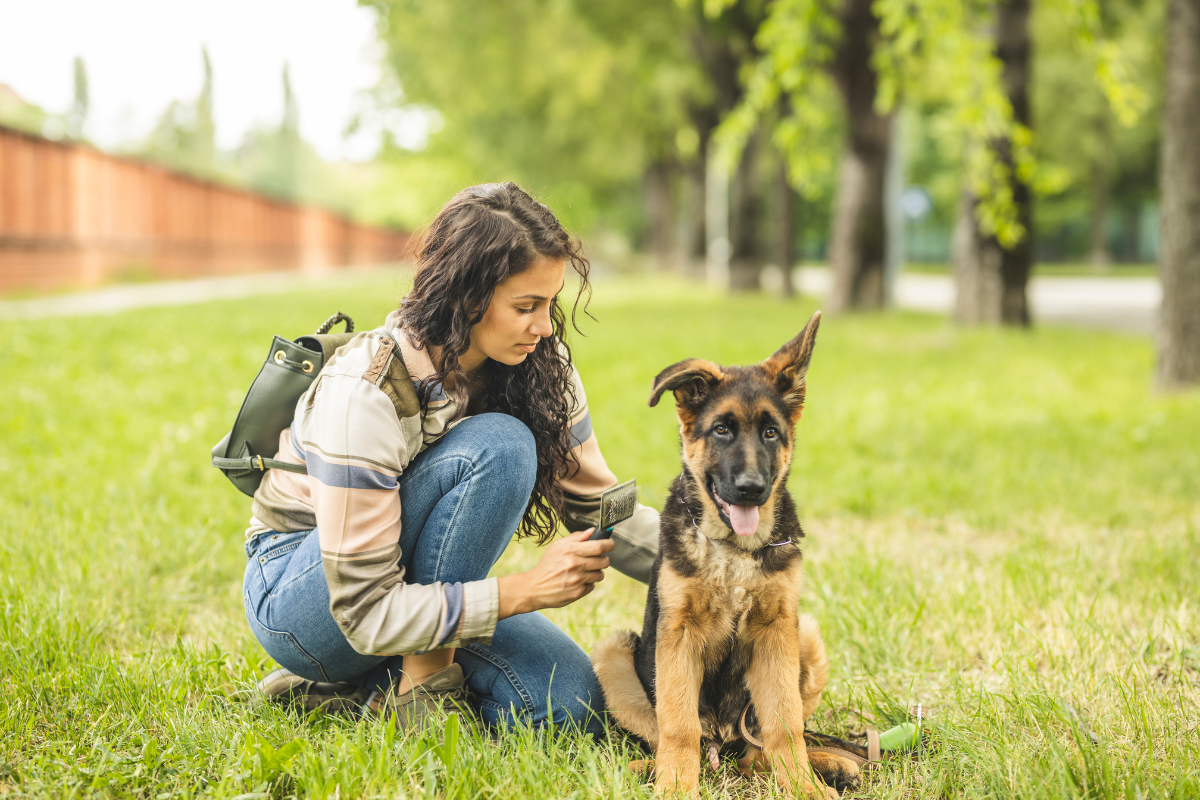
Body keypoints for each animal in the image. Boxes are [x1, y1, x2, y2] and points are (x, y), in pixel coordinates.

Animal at [588, 316, 854, 796]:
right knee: (667, 737)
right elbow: (678, 726)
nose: (750, 488)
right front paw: (676, 788)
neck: (733, 552)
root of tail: (724, 747)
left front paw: (802, 787)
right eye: (721, 430)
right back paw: (647, 770)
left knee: (759, 753)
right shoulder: (677, 635)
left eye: (771, 432)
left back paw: (822, 766)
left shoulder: (776, 629)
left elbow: (786, 726)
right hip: (613, 653)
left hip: (805, 635)